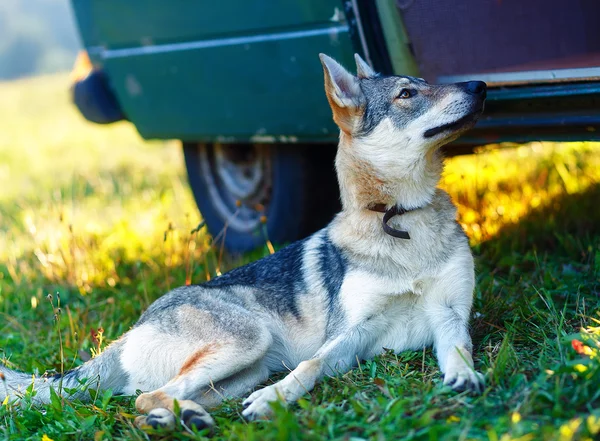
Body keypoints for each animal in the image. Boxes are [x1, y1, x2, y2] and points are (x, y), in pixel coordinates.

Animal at [0, 54, 488, 430]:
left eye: (424, 83)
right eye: (407, 94)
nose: (480, 84)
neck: (399, 218)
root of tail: (133, 328)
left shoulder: (449, 316)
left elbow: (459, 351)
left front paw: (466, 378)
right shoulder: (350, 333)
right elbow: (310, 366)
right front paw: (275, 400)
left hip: (244, 370)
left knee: (148, 401)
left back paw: (182, 419)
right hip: (248, 343)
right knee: (145, 397)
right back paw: (185, 418)